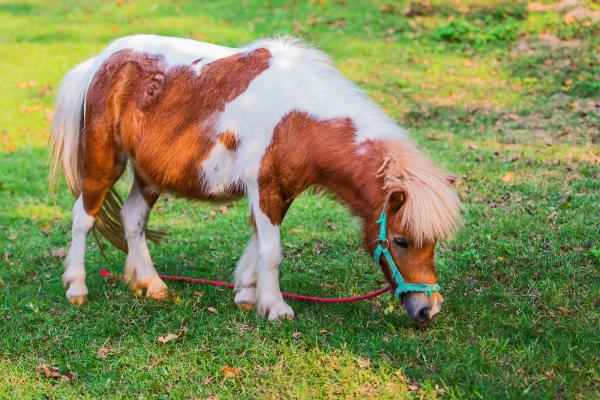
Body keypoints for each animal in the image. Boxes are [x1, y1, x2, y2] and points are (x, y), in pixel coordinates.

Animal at [51, 34, 462, 322]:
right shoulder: (266, 189)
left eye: (432, 242)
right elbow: (272, 250)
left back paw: (152, 285)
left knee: (133, 219)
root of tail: (102, 61)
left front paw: (248, 294)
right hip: (104, 163)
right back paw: (77, 288)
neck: (297, 118)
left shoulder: (280, 191)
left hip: (149, 175)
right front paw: (277, 308)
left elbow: (258, 243)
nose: (429, 310)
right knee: (83, 217)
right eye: (401, 241)